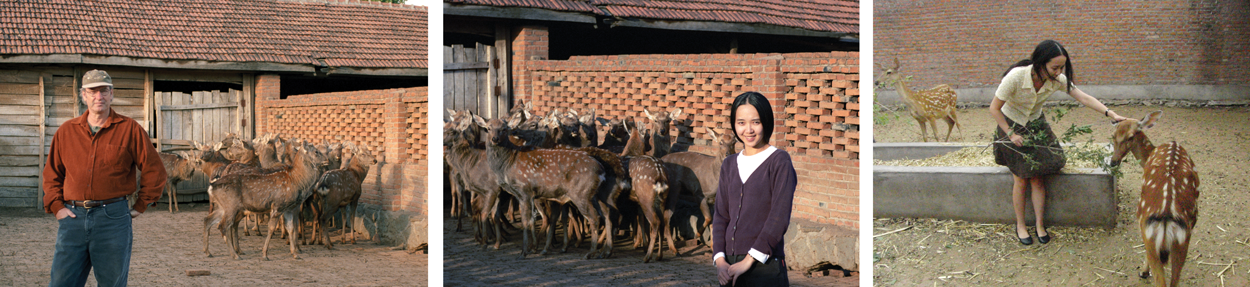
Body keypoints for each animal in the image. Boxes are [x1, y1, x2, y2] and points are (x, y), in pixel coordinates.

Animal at [1115, 110, 1200, 287]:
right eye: (1113, 135)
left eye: (1130, 137)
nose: (1114, 161)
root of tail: (1166, 218)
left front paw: (1143, 272)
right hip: (1182, 242)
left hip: (1149, 235)